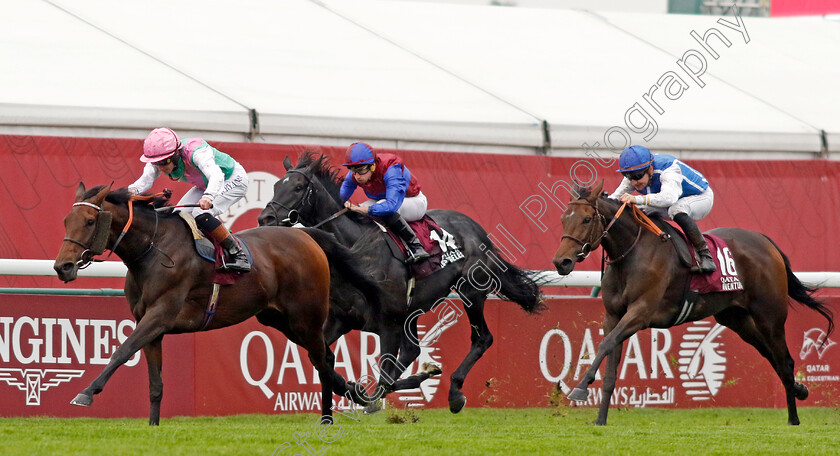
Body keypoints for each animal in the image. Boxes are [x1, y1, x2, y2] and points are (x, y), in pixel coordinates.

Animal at [51, 183, 368, 426]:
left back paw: (328, 417)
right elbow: (155, 384)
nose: (62, 267)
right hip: (279, 320)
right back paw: (351, 393)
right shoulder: (150, 325)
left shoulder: (160, 315)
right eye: (66, 220)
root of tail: (305, 235)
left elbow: (122, 351)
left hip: (306, 318)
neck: (154, 249)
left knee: (321, 361)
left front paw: (86, 393)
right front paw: (153, 426)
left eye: (90, 221)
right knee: (326, 357)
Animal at [258, 153, 544, 414]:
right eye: (276, 185)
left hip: (470, 291)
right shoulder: (343, 319)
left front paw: (369, 396)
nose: (265, 219)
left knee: (481, 338)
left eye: (297, 187)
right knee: (412, 351)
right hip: (415, 310)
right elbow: (318, 356)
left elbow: (384, 373)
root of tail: (477, 230)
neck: (354, 249)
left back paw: (454, 392)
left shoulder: (389, 321)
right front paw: (353, 389)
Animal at [552, 180, 832, 426]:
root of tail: (766, 242)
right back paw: (799, 390)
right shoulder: (613, 316)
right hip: (736, 319)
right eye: (564, 218)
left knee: (784, 360)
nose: (561, 262)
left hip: (770, 317)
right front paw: (600, 418)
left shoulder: (641, 312)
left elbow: (605, 344)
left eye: (587, 219)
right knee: (770, 354)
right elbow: (609, 363)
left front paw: (579, 388)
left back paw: (793, 418)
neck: (632, 254)